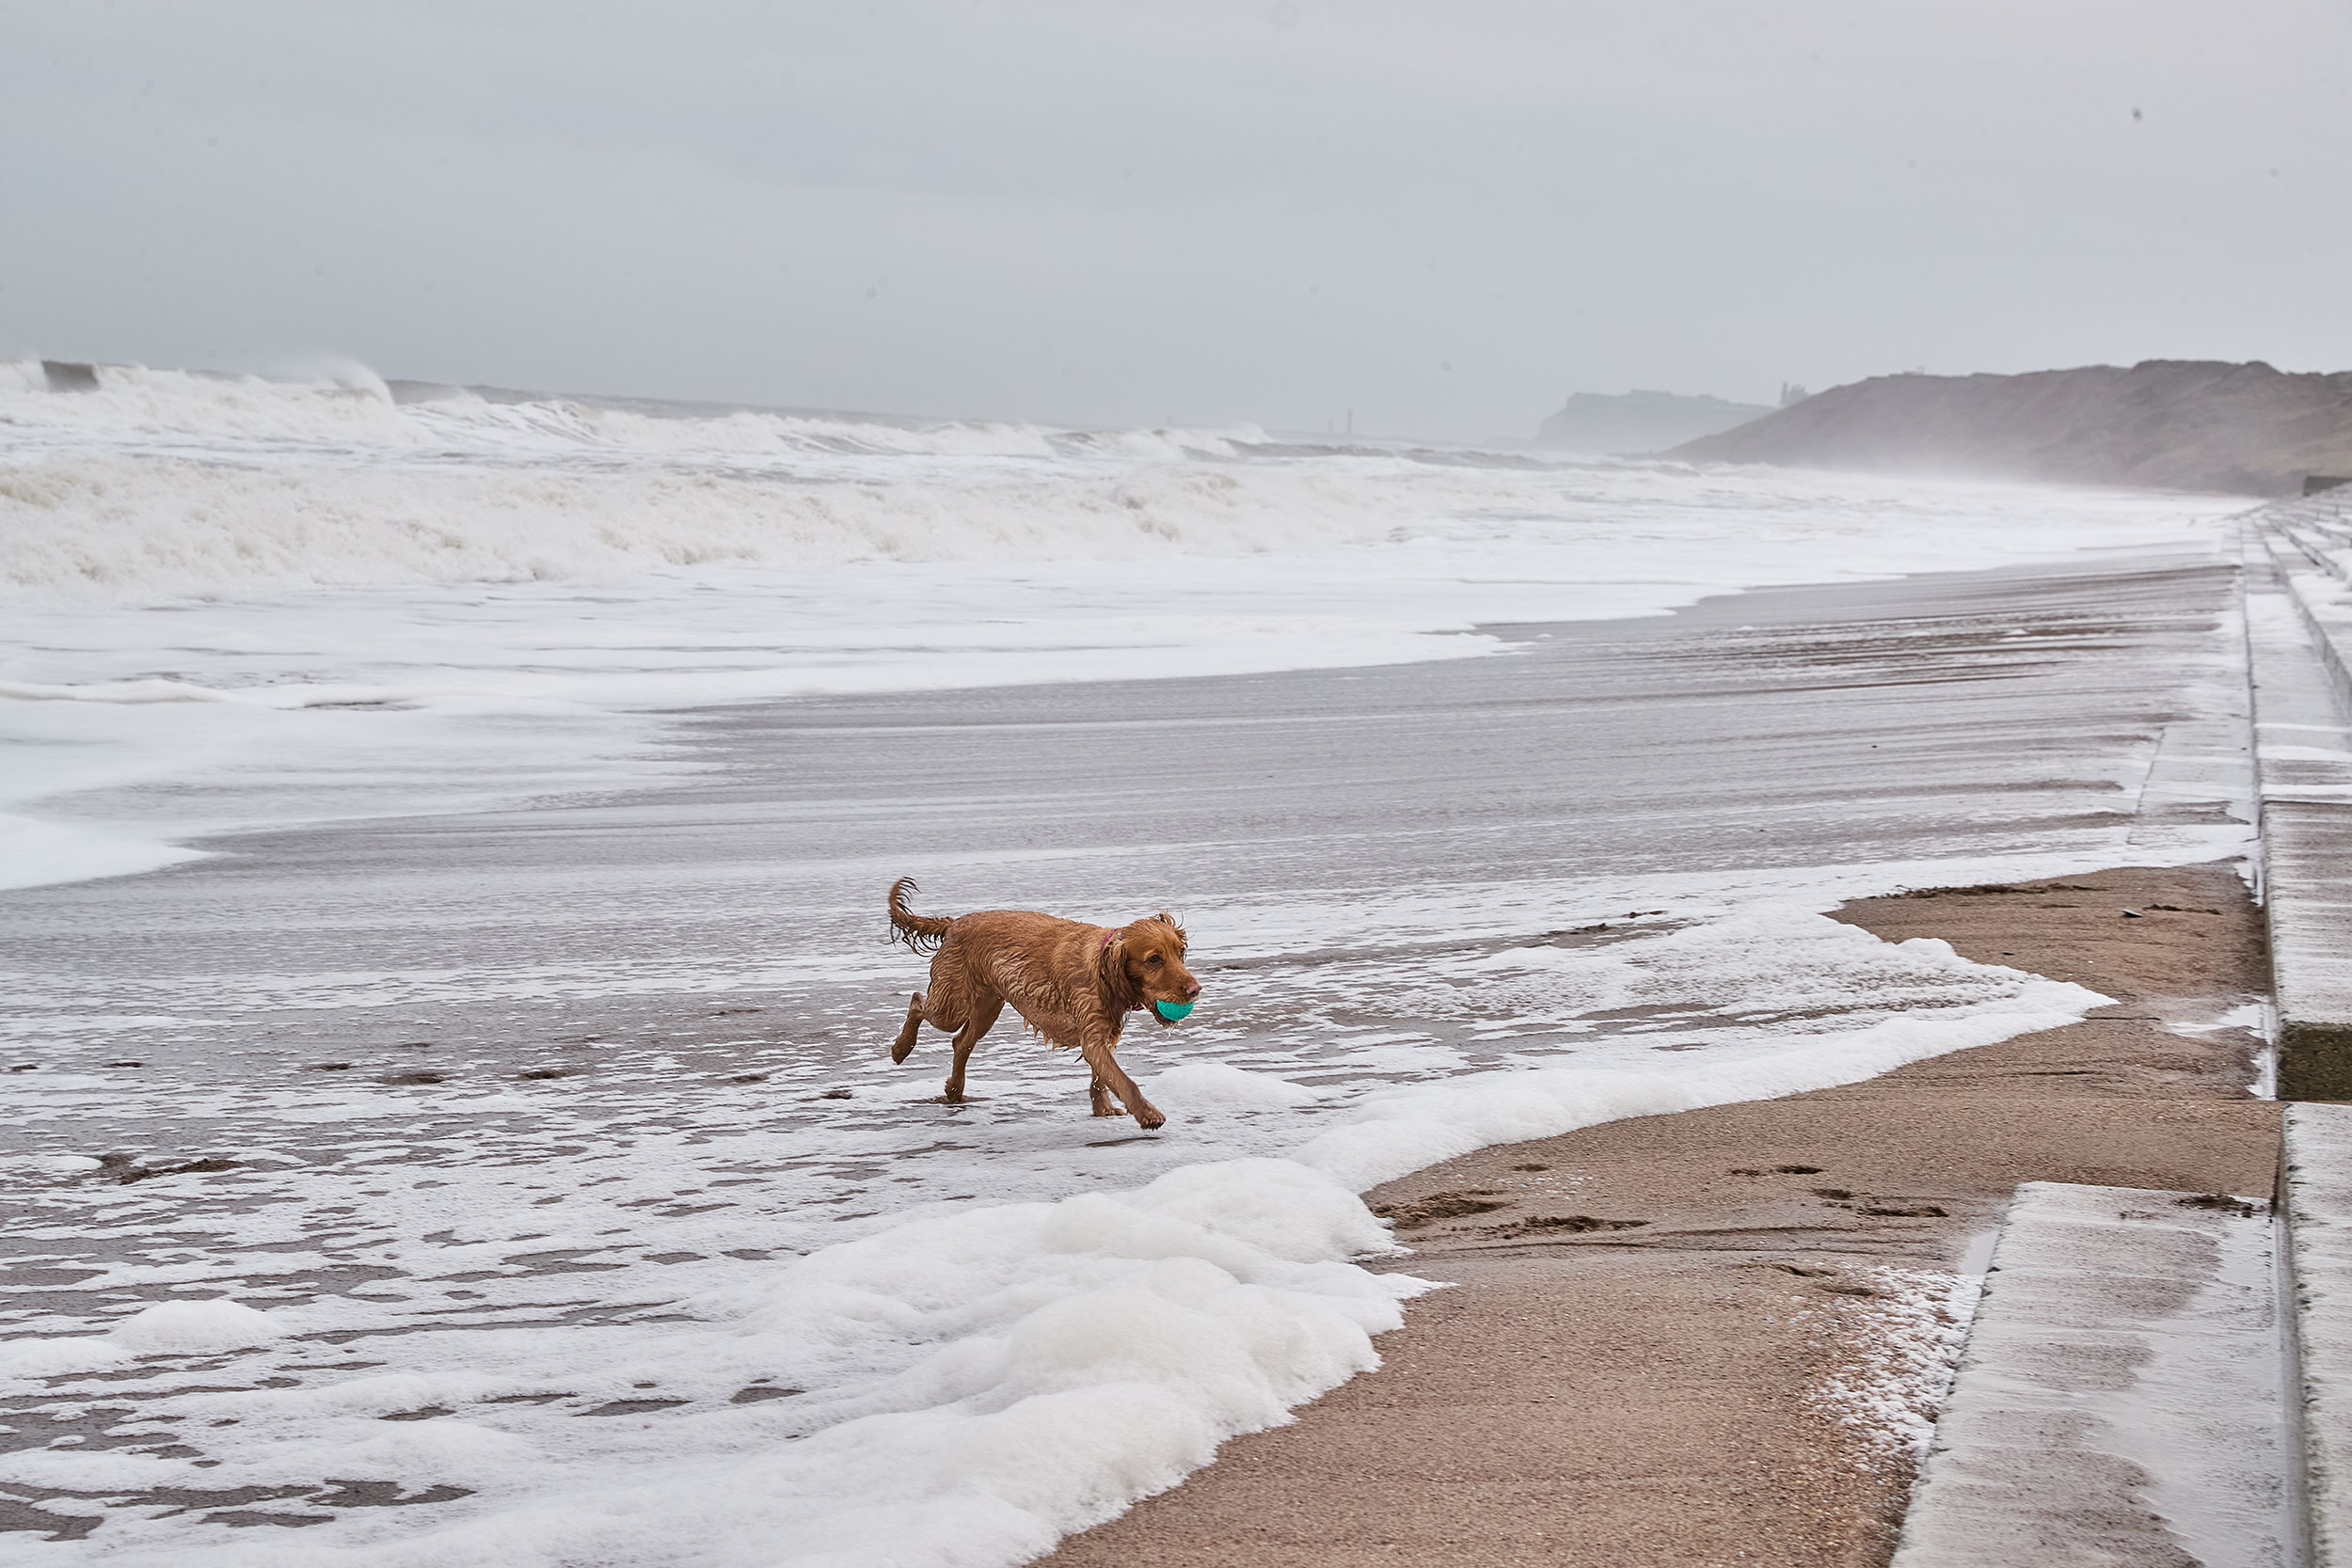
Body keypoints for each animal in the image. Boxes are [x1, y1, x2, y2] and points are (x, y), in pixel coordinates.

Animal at [889, 883, 1204, 1128]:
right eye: (1154, 959)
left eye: (1181, 952)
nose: (1195, 990)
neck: (1103, 968)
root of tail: (954, 922)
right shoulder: (1093, 1036)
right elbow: (1123, 1080)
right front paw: (1147, 1113)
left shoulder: (1104, 1035)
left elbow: (1101, 1078)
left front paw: (1102, 1107)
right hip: (953, 1004)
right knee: (918, 1001)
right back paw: (901, 1049)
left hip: (987, 1007)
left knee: (960, 1042)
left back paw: (954, 1090)